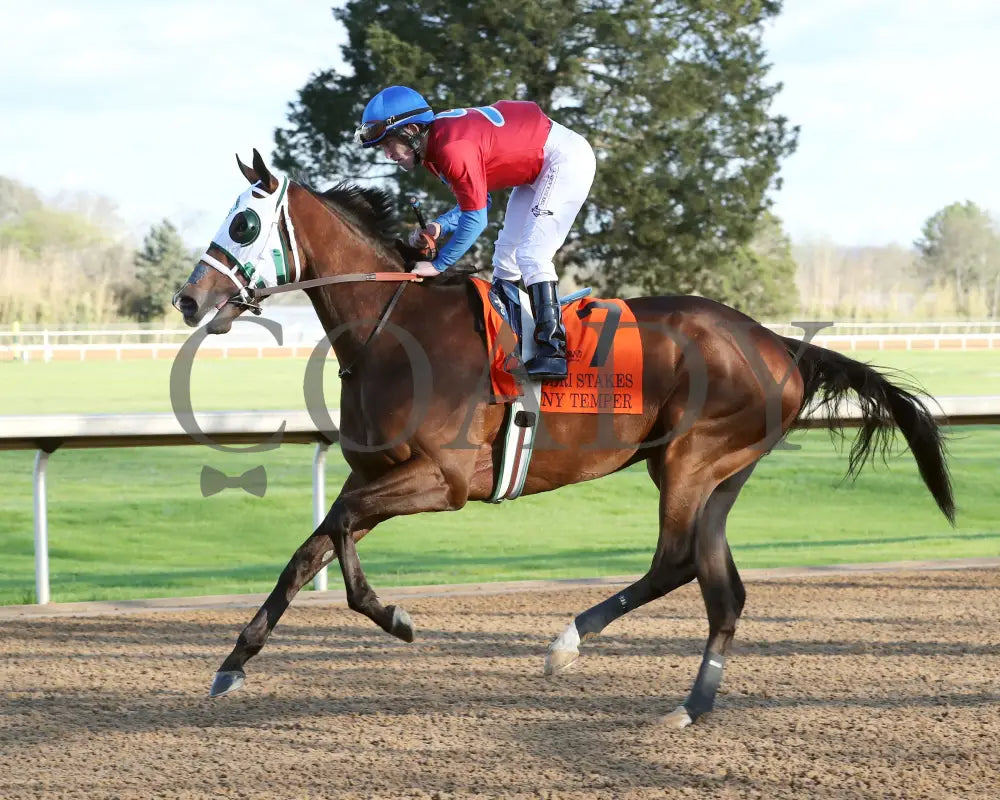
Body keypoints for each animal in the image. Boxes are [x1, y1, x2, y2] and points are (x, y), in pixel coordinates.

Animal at [176, 148, 956, 724]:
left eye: (244, 224)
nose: (189, 298)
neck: (392, 328)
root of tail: (780, 343)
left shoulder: (441, 481)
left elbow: (336, 530)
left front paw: (394, 616)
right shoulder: (377, 473)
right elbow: (309, 549)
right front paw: (233, 663)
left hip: (689, 460)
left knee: (675, 562)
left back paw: (567, 643)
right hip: (720, 476)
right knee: (722, 589)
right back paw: (692, 705)